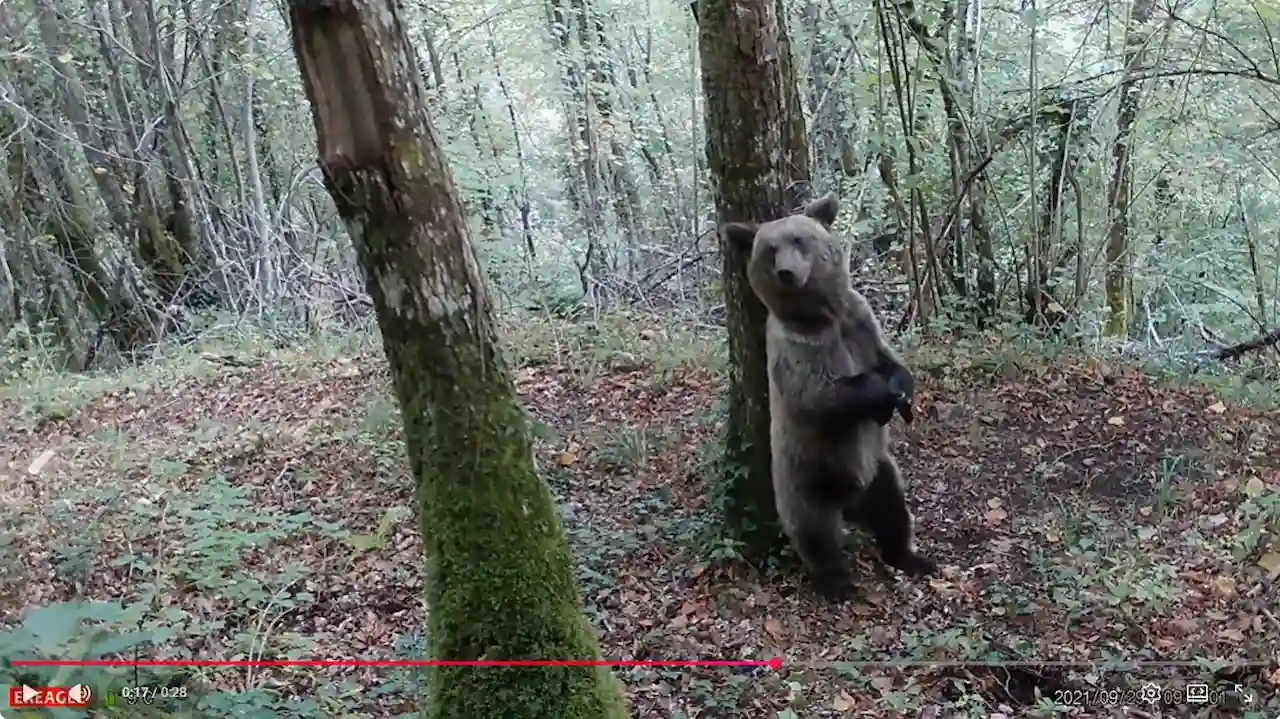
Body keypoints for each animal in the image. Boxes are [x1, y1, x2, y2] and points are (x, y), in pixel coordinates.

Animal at [720, 192, 937, 601]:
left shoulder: (860, 321)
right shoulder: (797, 350)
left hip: (878, 469)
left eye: (799, 239)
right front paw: (883, 395)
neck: (823, 317)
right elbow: (824, 393)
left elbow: (890, 359)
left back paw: (911, 557)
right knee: (816, 533)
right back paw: (839, 584)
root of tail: (850, 501)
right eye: (770, 249)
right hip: (806, 478)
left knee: (893, 509)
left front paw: (904, 394)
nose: (788, 273)